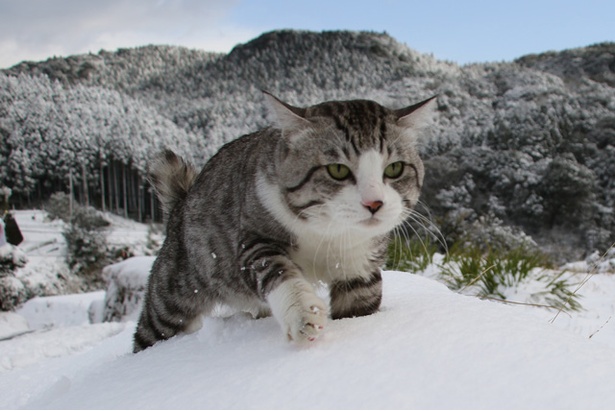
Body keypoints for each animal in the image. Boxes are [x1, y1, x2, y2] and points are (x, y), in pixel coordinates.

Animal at [132, 93, 436, 354]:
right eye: (337, 170)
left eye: (395, 168)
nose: (374, 203)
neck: (328, 233)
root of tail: (181, 202)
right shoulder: (253, 238)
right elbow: (276, 269)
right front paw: (302, 314)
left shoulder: (359, 264)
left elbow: (359, 305)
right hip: (172, 294)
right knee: (151, 329)